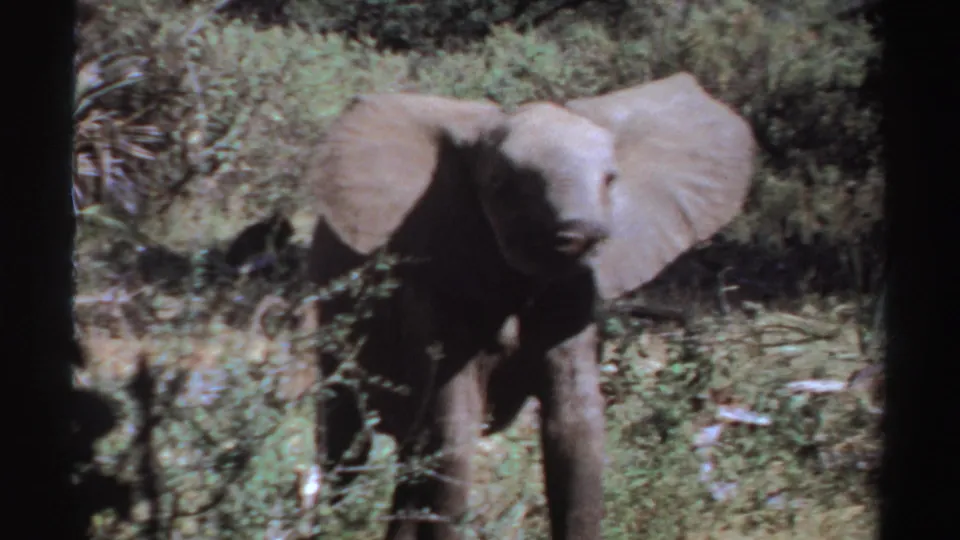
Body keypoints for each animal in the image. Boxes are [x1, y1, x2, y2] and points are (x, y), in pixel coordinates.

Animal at [305, 72, 756, 540]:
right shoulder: (440, 282)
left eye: (611, 180)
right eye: (501, 185)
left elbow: (575, 430)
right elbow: (454, 436)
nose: (585, 234)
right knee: (344, 435)